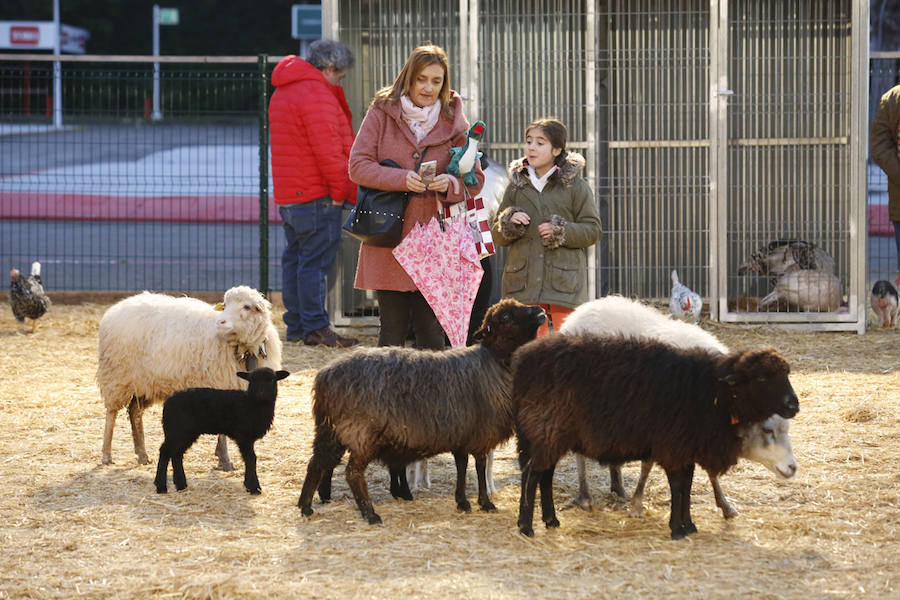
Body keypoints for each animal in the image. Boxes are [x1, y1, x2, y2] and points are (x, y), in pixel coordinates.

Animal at [98, 286, 282, 468]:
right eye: (225, 305)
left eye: (247, 306)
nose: (220, 322)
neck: (243, 349)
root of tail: (118, 307)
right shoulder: (219, 385)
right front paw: (224, 459)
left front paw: (221, 456)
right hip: (117, 376)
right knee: (111, 414)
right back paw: (106, 455)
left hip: (145, 383)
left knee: (135, 412)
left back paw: (142, 455)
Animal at [153, 368, 290, 494]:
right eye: (252, 380)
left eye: (272, 380)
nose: (261, 392)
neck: (252, 404)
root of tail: (167, 402)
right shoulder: (243, 436)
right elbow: (251, 458)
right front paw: (254, 487)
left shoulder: (248, 438)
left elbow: (249, 458)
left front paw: (249, 485)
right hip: (177, 430)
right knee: (165, 451)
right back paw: (161, 486)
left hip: (186, 433)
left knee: (177, 454)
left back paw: (181, 485)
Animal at [298, 300, 544, 524]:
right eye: (506, 317)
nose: (540, 311)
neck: (494, 361)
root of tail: (325, 376)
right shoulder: (480, 433)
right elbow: (479, 467)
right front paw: (485, 503)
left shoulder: (462, 433)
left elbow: (463, 465)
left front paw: (462, 501)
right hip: (361, 432)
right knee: (352, 473)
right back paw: (370, 514)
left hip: (329, 429)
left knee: (316, 463)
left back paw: (305, 507)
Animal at [510, 336, 800, 540]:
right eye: (762, 377)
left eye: (786, 374)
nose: (794, 405)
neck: (711, 391)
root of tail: (522, 361)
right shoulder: (673, 446)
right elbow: (678, 486)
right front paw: (677, 529)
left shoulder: (685, 448)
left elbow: (687, 485)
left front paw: (689, 525)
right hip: (545, 427)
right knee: (532, 474)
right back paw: (526, 526)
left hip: (549, 434)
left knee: (544, 474)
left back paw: (551, 520)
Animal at [560, 294, 800, 516]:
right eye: (767, 430)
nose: (793, 467)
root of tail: (578, 313)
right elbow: (647, 465)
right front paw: (637, 504)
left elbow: (710, 471)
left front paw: (725, 506)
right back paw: (585, 497)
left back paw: (618, 488)